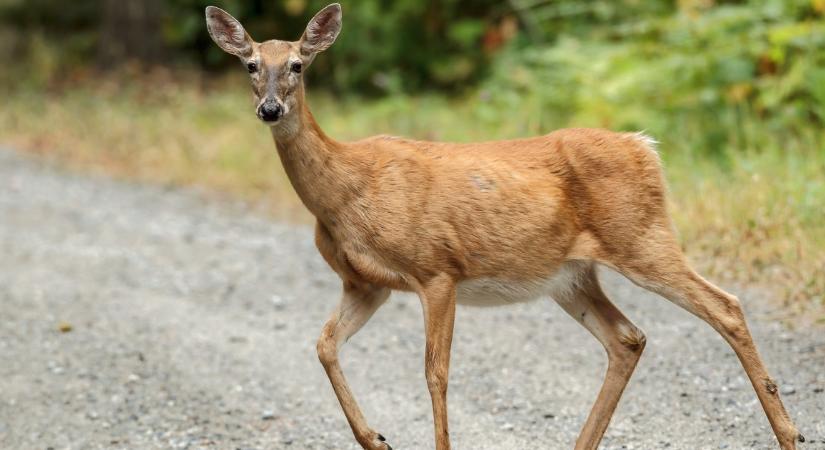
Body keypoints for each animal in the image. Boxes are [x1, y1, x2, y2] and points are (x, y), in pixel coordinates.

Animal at [203, 4, 800, 450]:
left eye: (298, 65)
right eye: (250, 64)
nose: (271, 109)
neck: (347, 192)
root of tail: (644, 147)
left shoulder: (436, 268)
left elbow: (435, 373)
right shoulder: (366, 283)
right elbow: (325, 345)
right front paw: (375, 438)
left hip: (641, 236)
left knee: (725, 305)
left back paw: (788, 434)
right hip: (571, 276)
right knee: (628, 337)